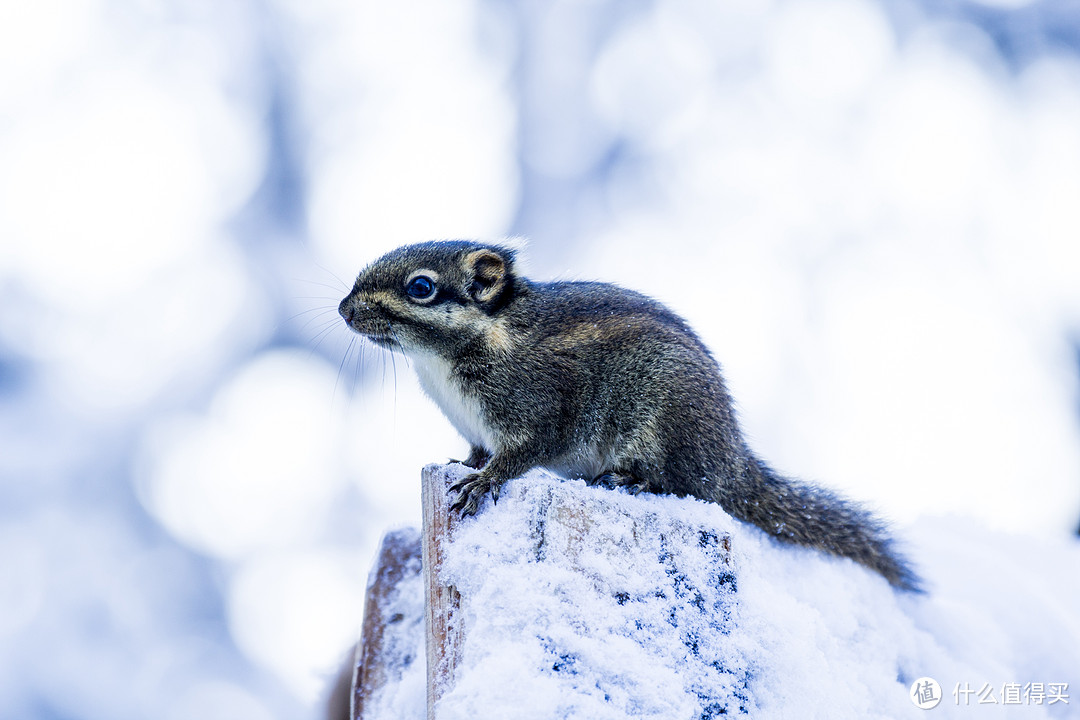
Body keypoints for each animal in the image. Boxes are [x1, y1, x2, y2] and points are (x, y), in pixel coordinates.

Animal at [336, 241, 920, 591]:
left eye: (421, 287)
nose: (344, 308)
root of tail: (732, 462)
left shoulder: (538, 407)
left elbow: (522, 453)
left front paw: (486, 479)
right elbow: (476, 450)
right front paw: (467, 463)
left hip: (662, 424)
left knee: (676, 481)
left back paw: (628, 479)